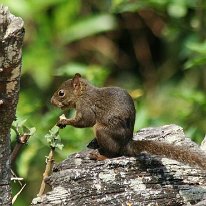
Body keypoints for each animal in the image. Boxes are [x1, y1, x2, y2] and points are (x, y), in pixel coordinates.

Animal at [50, 73, 206, 170]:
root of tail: (126, 143)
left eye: (61, 93)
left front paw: (64, 122)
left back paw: (99, 155)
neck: (83, 94)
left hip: (102, 130)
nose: (51, 101)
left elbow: (85, 121)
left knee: (114, 153)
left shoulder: (86, 107)